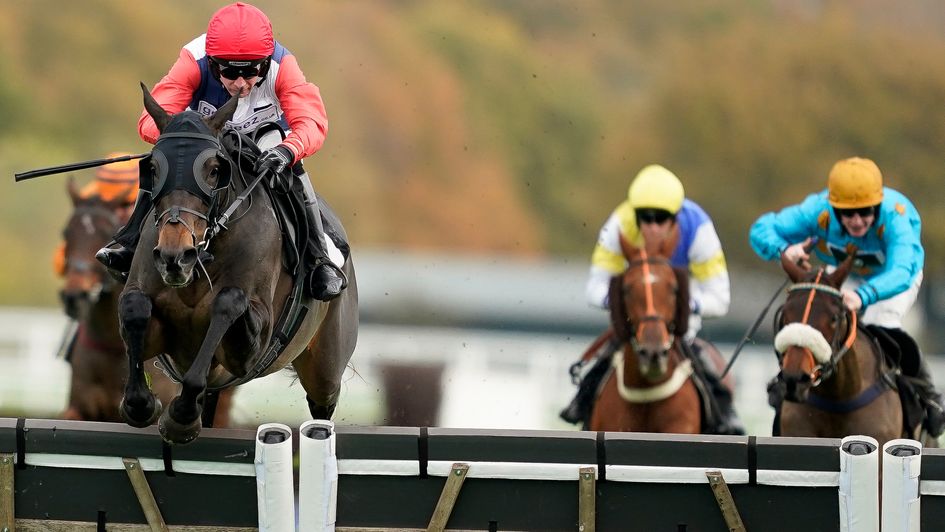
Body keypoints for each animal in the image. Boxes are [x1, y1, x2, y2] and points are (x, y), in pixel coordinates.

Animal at [116, 84, 356, 444]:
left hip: (325, 368)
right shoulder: (161, 333)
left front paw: (180, 418)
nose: (175, 256)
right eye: (154, 169)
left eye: (214, 170)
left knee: (322, 404)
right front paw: (142, 404)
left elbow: (228, 302)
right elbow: (134, 308)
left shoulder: (248, 349)